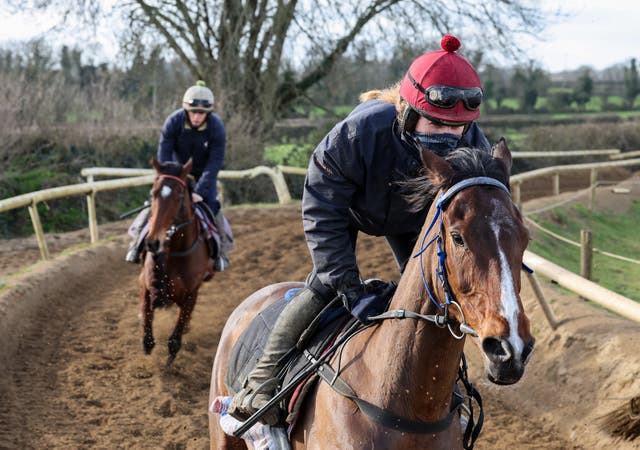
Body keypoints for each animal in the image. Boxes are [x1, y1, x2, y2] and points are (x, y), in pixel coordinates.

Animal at [139, 159, 214, 366]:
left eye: (179, 196)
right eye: (153, 193)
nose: (153, 241)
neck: (175, 253)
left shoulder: (191, 293)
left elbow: (174, 340)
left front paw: (167, 366)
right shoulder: (145, 286)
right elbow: (147, 337)